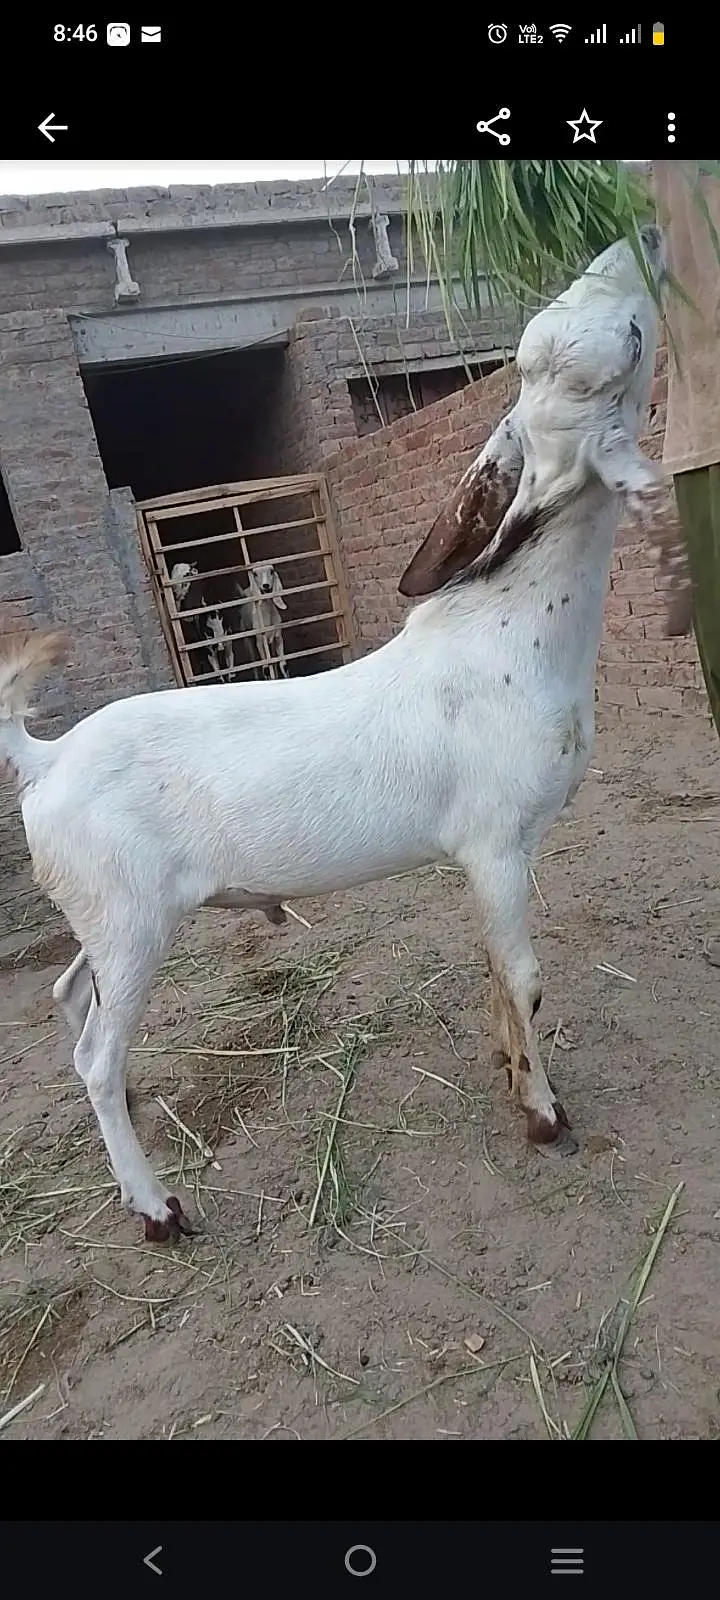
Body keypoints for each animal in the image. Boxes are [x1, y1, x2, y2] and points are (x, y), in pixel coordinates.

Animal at [0, 227, 665, 1242]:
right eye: (621, 343)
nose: (637, 240)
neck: (508, 633)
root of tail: (48, 756)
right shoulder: (498, 841)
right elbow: (523, 977)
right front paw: (545, 1115)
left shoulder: (486, 857)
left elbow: (494, 972)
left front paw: (511, 1074)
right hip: (133, 923)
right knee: (94, 1059)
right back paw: (156, 1207)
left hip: (103, 916)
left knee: (69, 994)